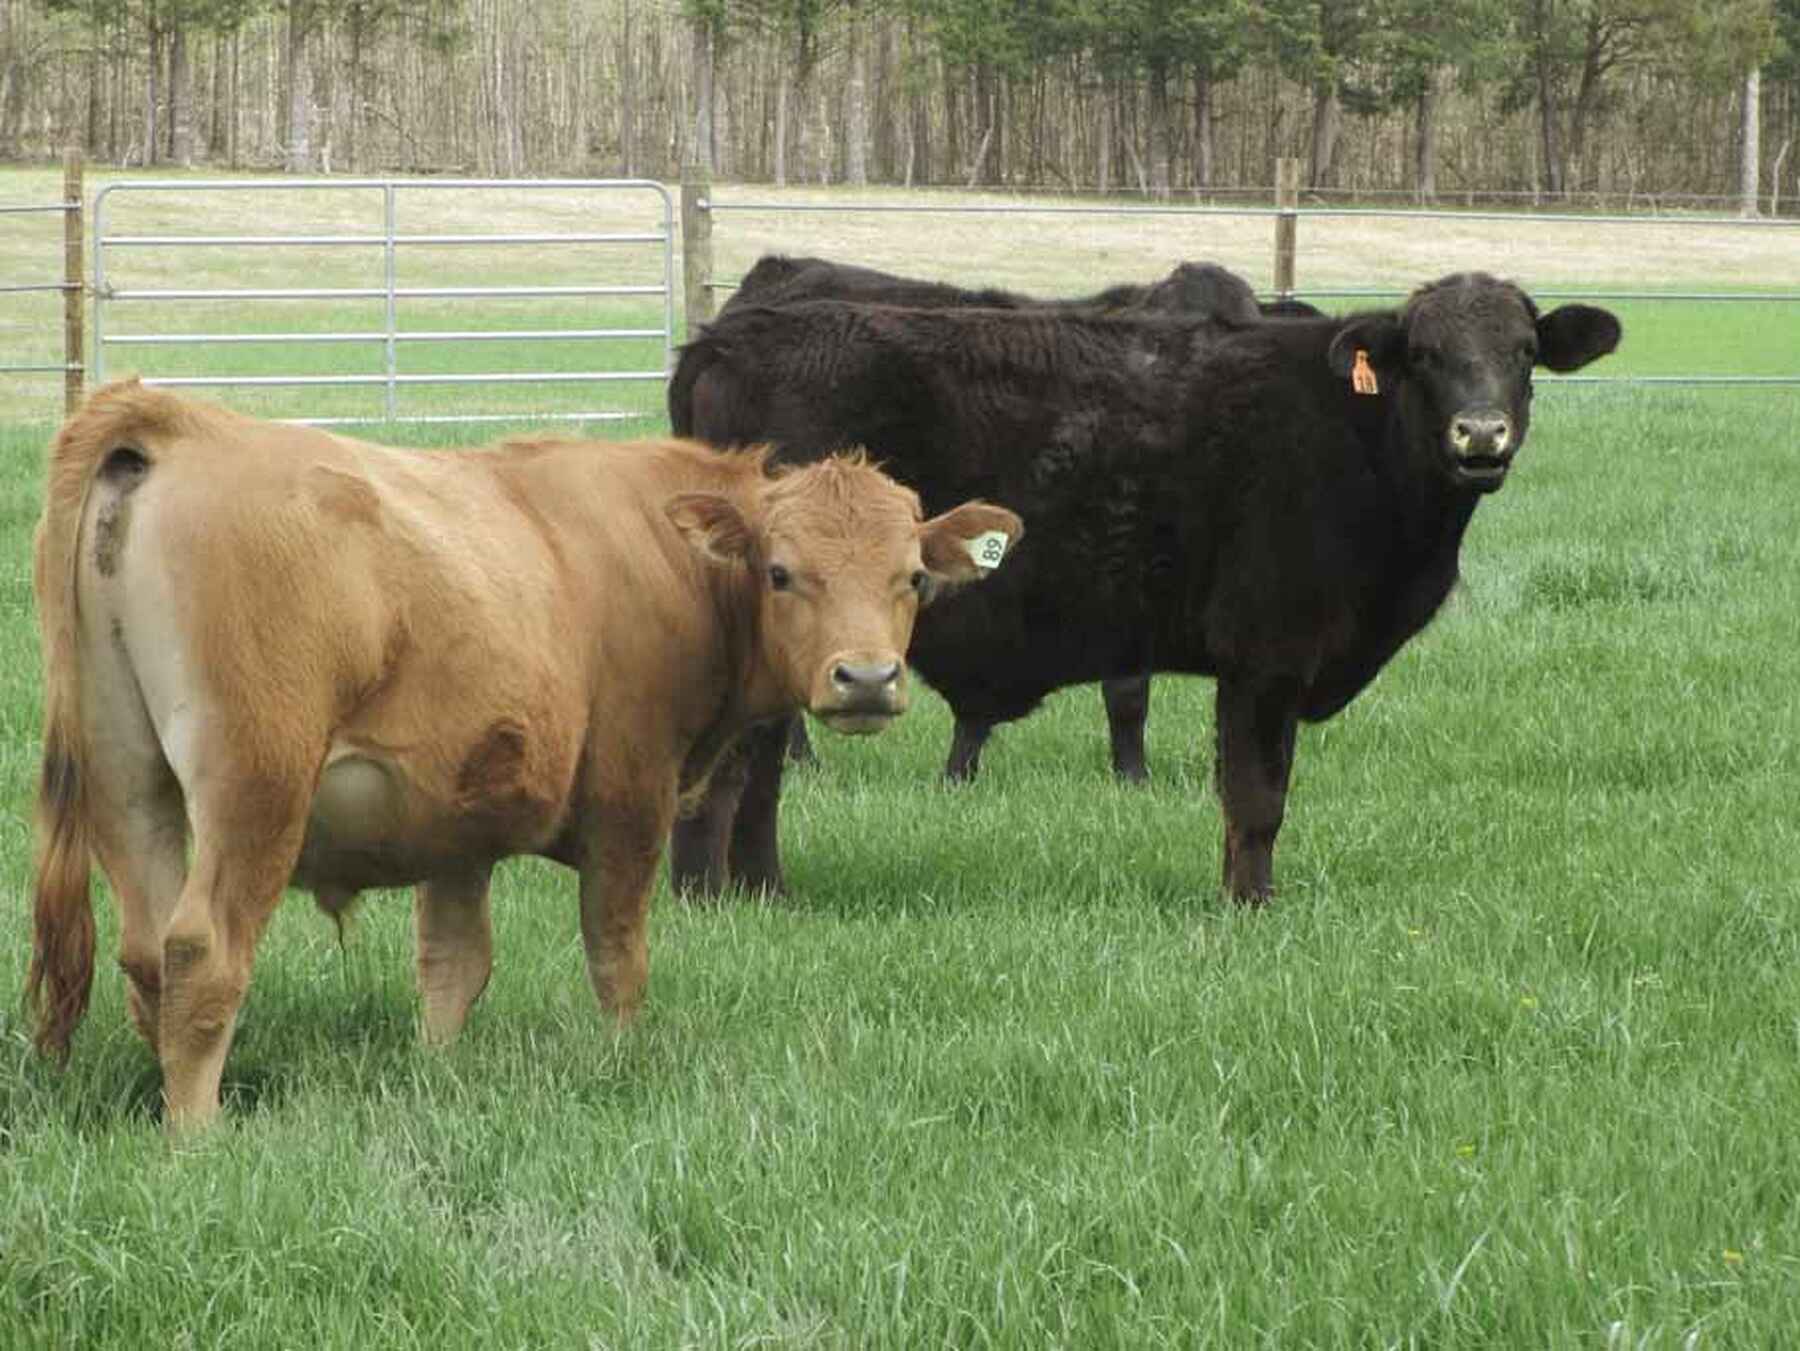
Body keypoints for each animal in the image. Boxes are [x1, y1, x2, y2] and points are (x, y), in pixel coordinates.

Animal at [26, 380, 1020, 1130]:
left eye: (912, 576)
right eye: (781, 572)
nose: (866, 677)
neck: (659, 549)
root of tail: (177, 420)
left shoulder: (455, 816)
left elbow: (452, 964)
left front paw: (434, 1075)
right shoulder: (632, 796)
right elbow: (617, 955)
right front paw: (621, 1062)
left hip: (127, 781)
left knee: (148, 955)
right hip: (254, 785)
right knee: (204, 952)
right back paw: (198, 1135)